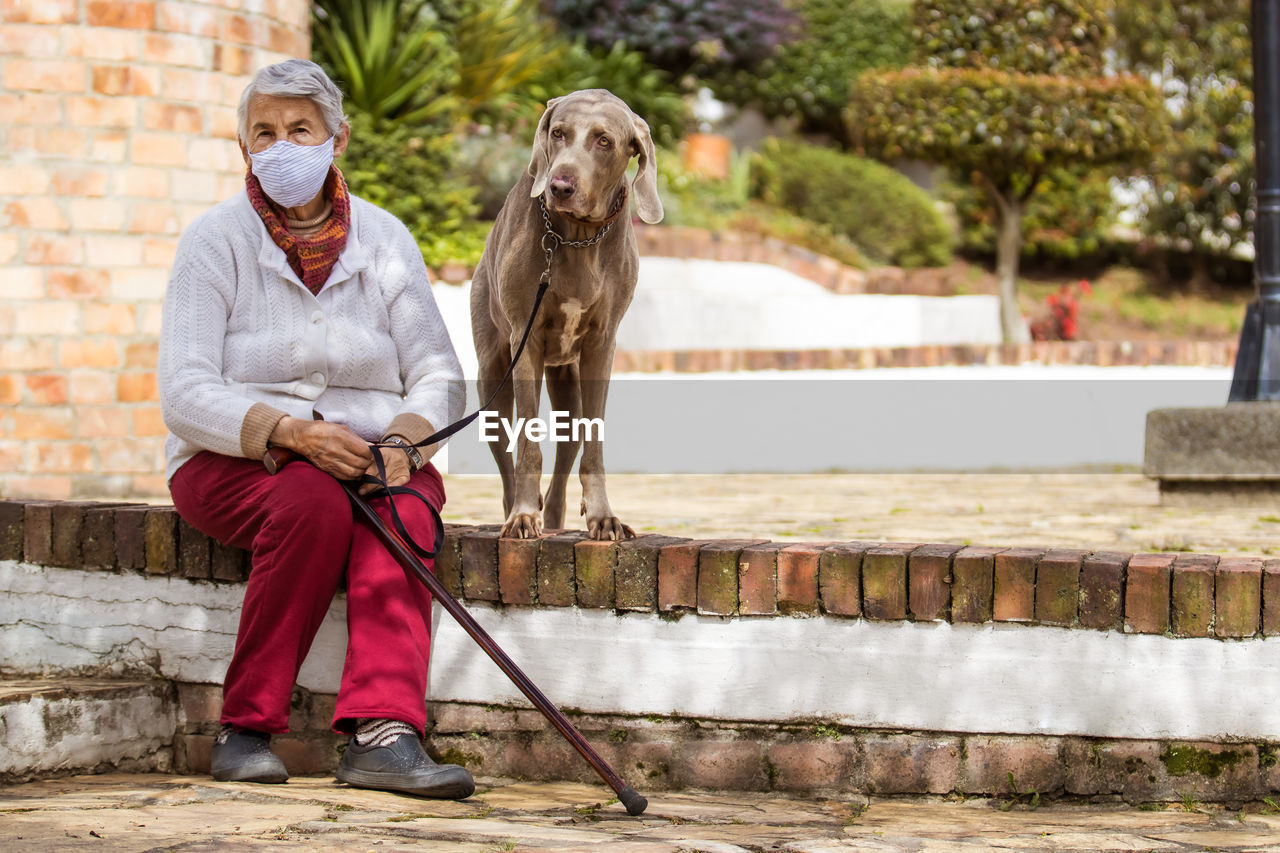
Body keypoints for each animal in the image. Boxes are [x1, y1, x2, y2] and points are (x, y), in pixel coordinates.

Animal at [473, 87, 670, 537]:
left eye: (604, 141)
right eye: (558, 133)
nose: (559, 185)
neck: (577, 237)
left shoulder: (602, 343)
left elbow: (593, 445)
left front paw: (603, 516)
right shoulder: (524, 340)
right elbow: (527, 444)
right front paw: (523, 515)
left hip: (569, 380)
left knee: (568, 452)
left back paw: (556, 519)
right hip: (492, 375)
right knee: (505, 452)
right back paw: (517, 510)